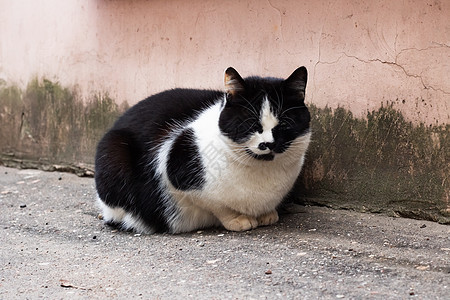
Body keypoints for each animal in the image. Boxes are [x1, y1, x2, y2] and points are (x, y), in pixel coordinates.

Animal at [95, 67, 312, 233]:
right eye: (250, 124)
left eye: (284, 124)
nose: (268, 143)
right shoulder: (177, 168)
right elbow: (218, 206)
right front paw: (238, 219)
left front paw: (267, 214)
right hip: (113, 153)